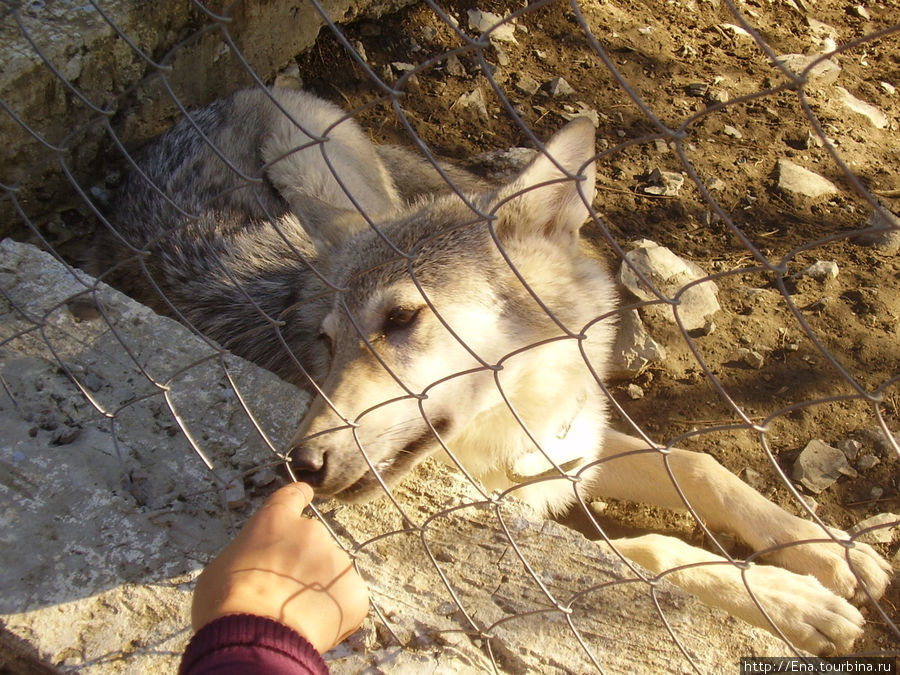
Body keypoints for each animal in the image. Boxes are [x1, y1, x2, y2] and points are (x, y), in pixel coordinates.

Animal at [100, 87, 892, 656]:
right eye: (325, 343)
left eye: (400, 321)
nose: (301, 465)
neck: (519, 427)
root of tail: (192, 114)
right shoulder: (539, 506)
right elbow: (653, 549)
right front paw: (793, 602)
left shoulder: (575, 452)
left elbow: (699, 465)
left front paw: (827, 551)